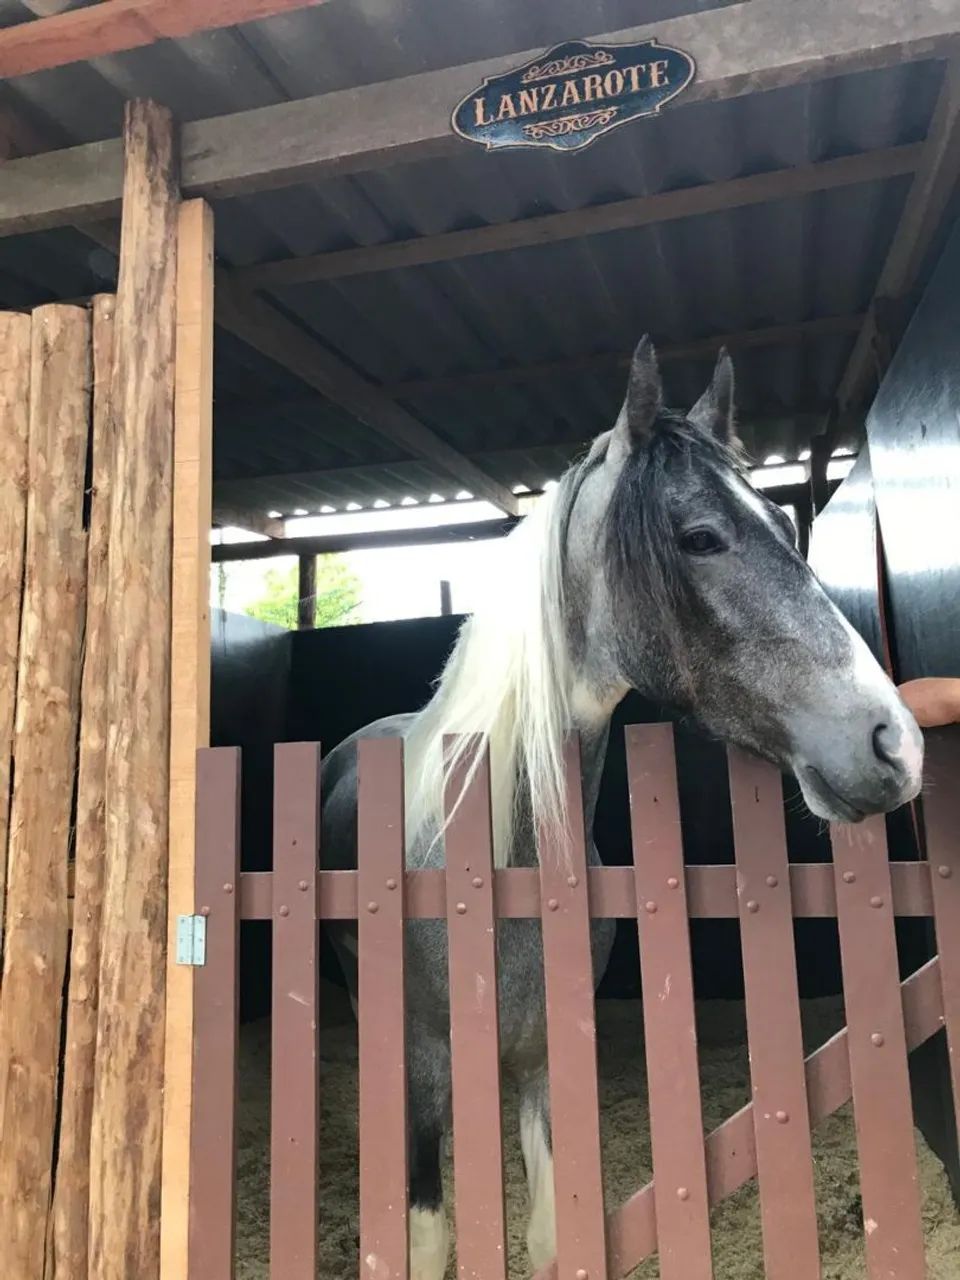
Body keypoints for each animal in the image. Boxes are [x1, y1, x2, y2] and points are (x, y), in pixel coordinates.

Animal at [319, 337, 923, 1279]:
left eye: (789, 529)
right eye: (699, 537)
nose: (892, 742)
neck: (495, 862)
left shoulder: (544, 1066)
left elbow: (546, 1234)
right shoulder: (424, 1064)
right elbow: (427, 1235)